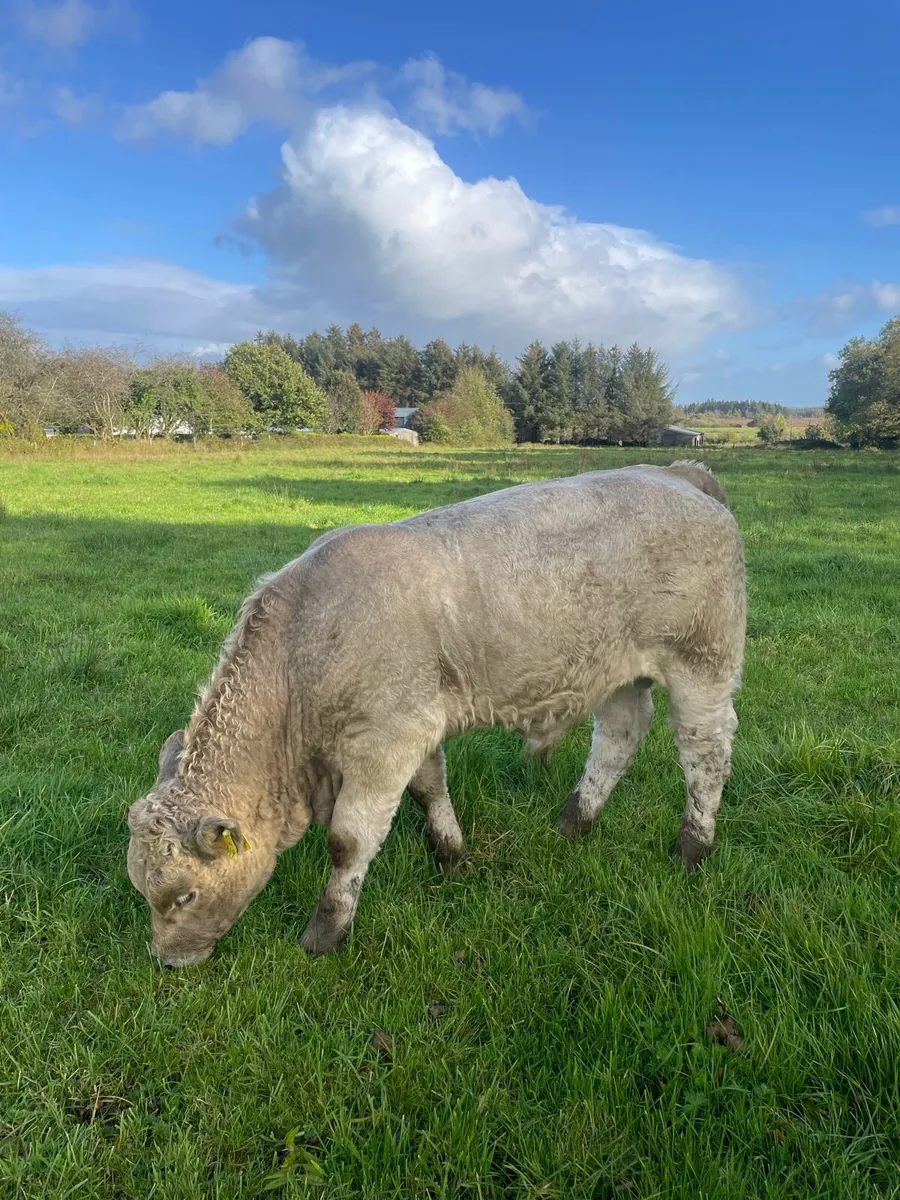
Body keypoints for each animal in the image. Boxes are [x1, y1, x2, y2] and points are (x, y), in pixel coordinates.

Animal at [127, 461, 746, 966]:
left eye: (182, 894)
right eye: (141, 887)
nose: (166, 961)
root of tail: (678, 473)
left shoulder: (384, 740)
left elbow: (348, 841)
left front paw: (325, 933)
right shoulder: (416, 725)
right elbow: (430, 788)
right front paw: (451, 856)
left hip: (703, 661)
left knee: (705, 749)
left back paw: (693, 846)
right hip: (618, 669)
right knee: (620, 734)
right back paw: (576, 820)